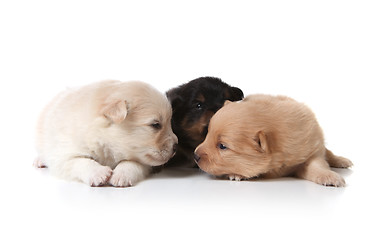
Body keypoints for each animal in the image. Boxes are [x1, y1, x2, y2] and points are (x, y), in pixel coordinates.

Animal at [33, 80, 178, 188]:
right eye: (156, 125)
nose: (176, 146)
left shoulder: (143, 160)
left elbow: (132, 163)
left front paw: (121, 175)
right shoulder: (63, 154)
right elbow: (80, 161)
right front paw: (98, 173)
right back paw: (39, 160)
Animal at [194, 94, 352, 187]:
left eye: (222, 146)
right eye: (207, 134)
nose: (195, 156)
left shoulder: (310, 151)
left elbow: (318, 165)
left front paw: (330, 177)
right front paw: (236, 174)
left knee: (328, 152)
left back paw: (342, 161)